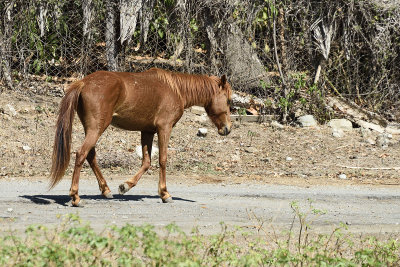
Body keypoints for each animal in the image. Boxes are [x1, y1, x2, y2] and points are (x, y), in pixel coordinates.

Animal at [50, 68, 233, 206]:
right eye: (228, 100)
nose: (227, 128)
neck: (176, 89)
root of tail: (84, 82)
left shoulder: (147, 132)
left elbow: (146, 162)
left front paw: (125, 186)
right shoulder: (164, 128)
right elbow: (163, 160)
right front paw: (165, 194)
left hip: (92, 129)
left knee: (90, 156)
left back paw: (106, 190)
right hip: (96, 129)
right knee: (81, 154)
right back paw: (76, 197)